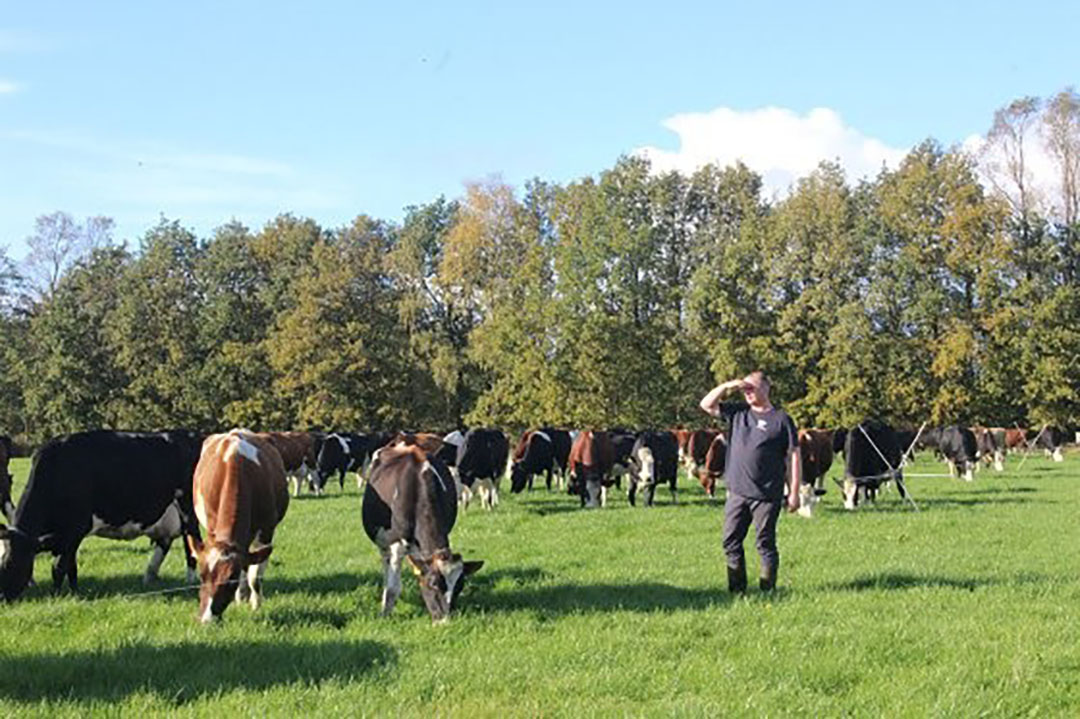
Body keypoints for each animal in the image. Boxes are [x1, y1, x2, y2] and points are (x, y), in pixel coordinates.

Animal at [0, 425, 203, 600]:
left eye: (11, 563)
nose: (2, 597)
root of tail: (189, 434)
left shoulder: (75, 529)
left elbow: (58, 567)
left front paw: (56, 595)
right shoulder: (66, 537)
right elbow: (71, 567)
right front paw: (74, 592)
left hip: (187, 505)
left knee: (192, 536)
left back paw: (191, 579)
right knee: (170, 541)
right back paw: (149, 577)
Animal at [190, 431, 289, 621]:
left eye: (230, 579)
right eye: (201, 575)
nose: (206, 619)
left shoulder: (266, 532)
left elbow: (255, 577)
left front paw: (256, 605)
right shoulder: (212, 530)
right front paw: (241, 597)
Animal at [360, 442, 483, 621]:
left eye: (460, 586)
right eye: (434, 584)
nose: (445, 622)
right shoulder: (396, 545)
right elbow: (393, 588)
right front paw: (385, 614)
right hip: (383, 542)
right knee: (386, 564)